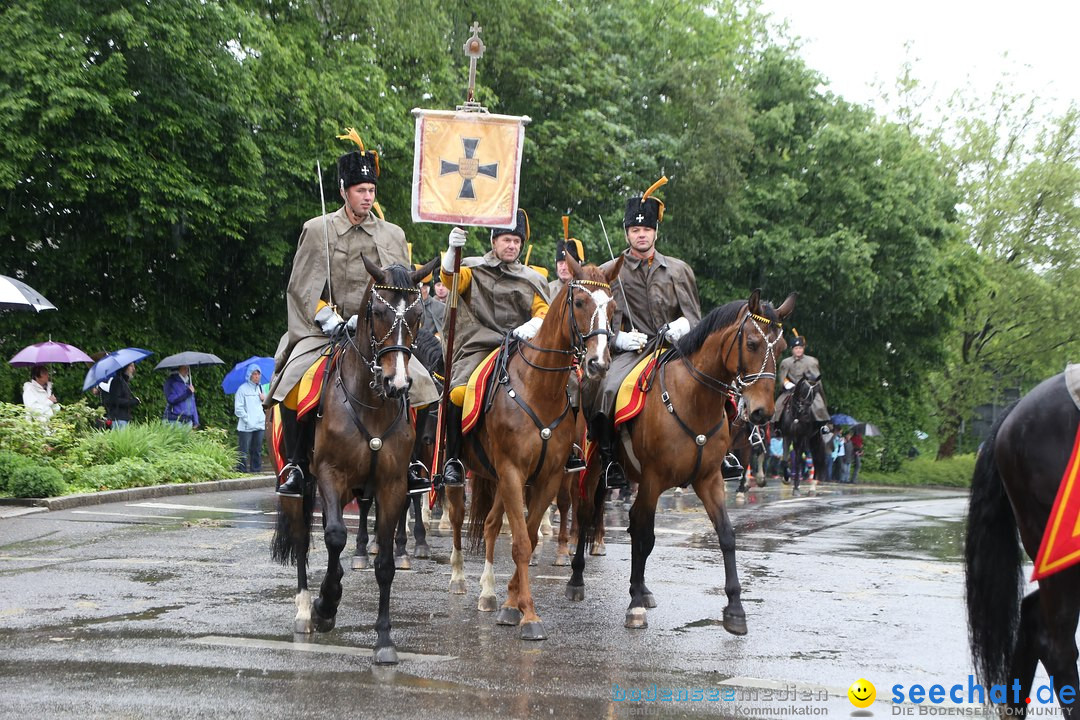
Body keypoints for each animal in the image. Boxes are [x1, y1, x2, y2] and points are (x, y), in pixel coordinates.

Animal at [272, 257, 440, 664]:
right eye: (377, 312)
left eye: (416, 316)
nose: (397, 382)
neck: (372, 402)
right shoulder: (331, 475)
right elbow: (334, 536)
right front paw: (326, 604)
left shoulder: (392, 484)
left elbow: (386, 564)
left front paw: (384, 639)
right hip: (300, 484)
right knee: (302, 539)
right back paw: (305, 609)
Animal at [442, 254, 622, 643]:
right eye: (580, 302)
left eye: (613, 308)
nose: (598, 363)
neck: (538, 387)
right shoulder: (513, 472)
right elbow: (522, 542)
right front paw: (528, 616)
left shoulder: (547, 476)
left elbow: (528, 532)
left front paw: (512, 603)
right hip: (462, 475)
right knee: (458, 519)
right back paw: (459, 577)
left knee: (491, 524)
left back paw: (488, 593)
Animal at [565, 289, 794, 634]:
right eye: (753, 344)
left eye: (780, 349)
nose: (761, 412)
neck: (692, 398)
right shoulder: (653, 480)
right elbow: (644, 536)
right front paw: (634, 605)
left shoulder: (709, 479)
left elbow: (726, 535)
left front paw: (735, 610)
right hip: (593, 467)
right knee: (587, 513)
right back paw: (577, 579)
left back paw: (641, 587)